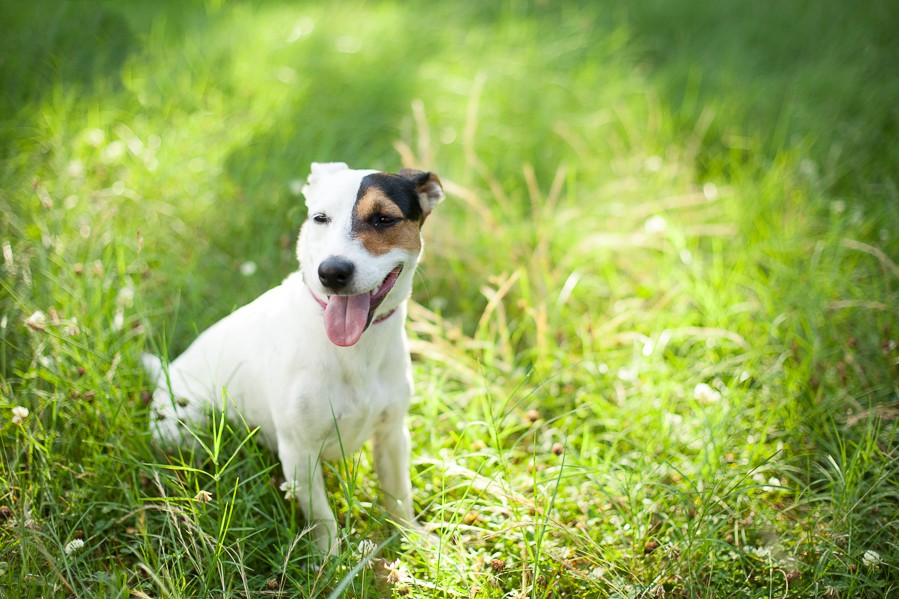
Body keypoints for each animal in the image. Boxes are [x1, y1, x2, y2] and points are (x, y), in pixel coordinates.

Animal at [142, 162, 446, 556]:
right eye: (320, 218)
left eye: (384, 219)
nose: (331, 272)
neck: (354, 352)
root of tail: (168, 372)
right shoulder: (299, 452)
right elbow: (322, 517)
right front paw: (330, 562)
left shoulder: (393, 434)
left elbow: (399, 495)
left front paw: (413, 539)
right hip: (185, 429)